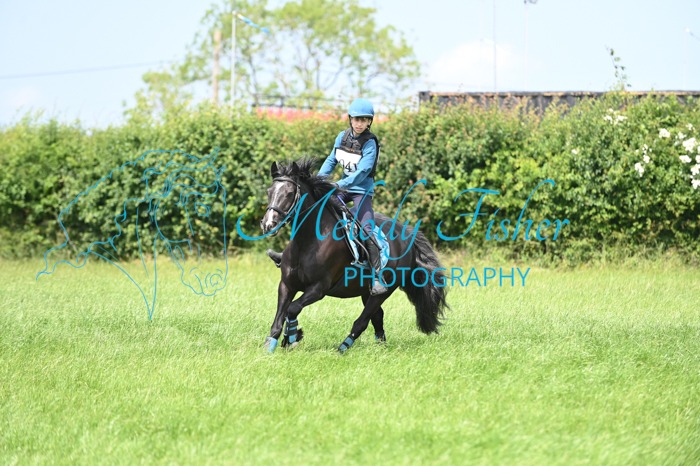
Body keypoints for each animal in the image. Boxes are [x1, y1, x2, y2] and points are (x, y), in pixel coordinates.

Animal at [258, 158, 448, 353]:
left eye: (289, 193)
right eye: (269, 192)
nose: (268, 224)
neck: (307, 242)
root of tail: (407, 235)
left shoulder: (318, 289)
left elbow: (292, 309)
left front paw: (293, 337)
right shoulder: (286, 285)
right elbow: (280, 318)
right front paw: (272, 345)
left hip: (382, 292)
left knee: (362, 321)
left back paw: (342, 349)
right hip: (366, 291)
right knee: (377, 317)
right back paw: (380, 347)